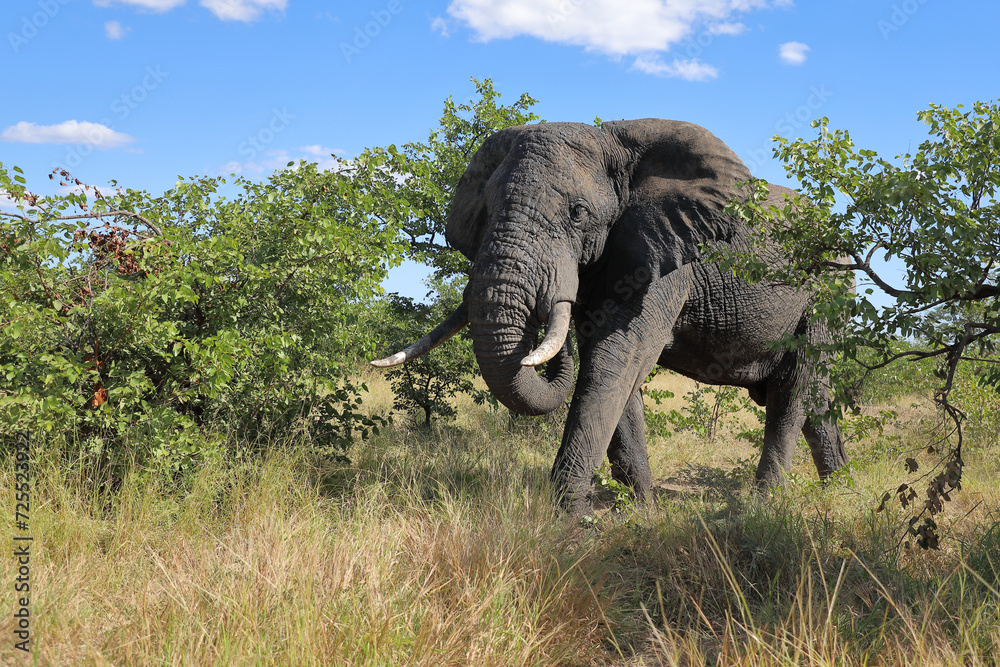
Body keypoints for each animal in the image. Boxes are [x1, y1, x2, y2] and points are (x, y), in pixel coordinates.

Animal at [373, 119, 848, 515]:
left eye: (578, 214)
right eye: (485, 211)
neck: (611, 141)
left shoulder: (668, 257)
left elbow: (617, 356)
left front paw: (573, 518)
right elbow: (616, 373)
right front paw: (642, 510)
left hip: (823, 296)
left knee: (793, 391)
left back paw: (760, 507)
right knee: (815, 398)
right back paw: (841, 490)